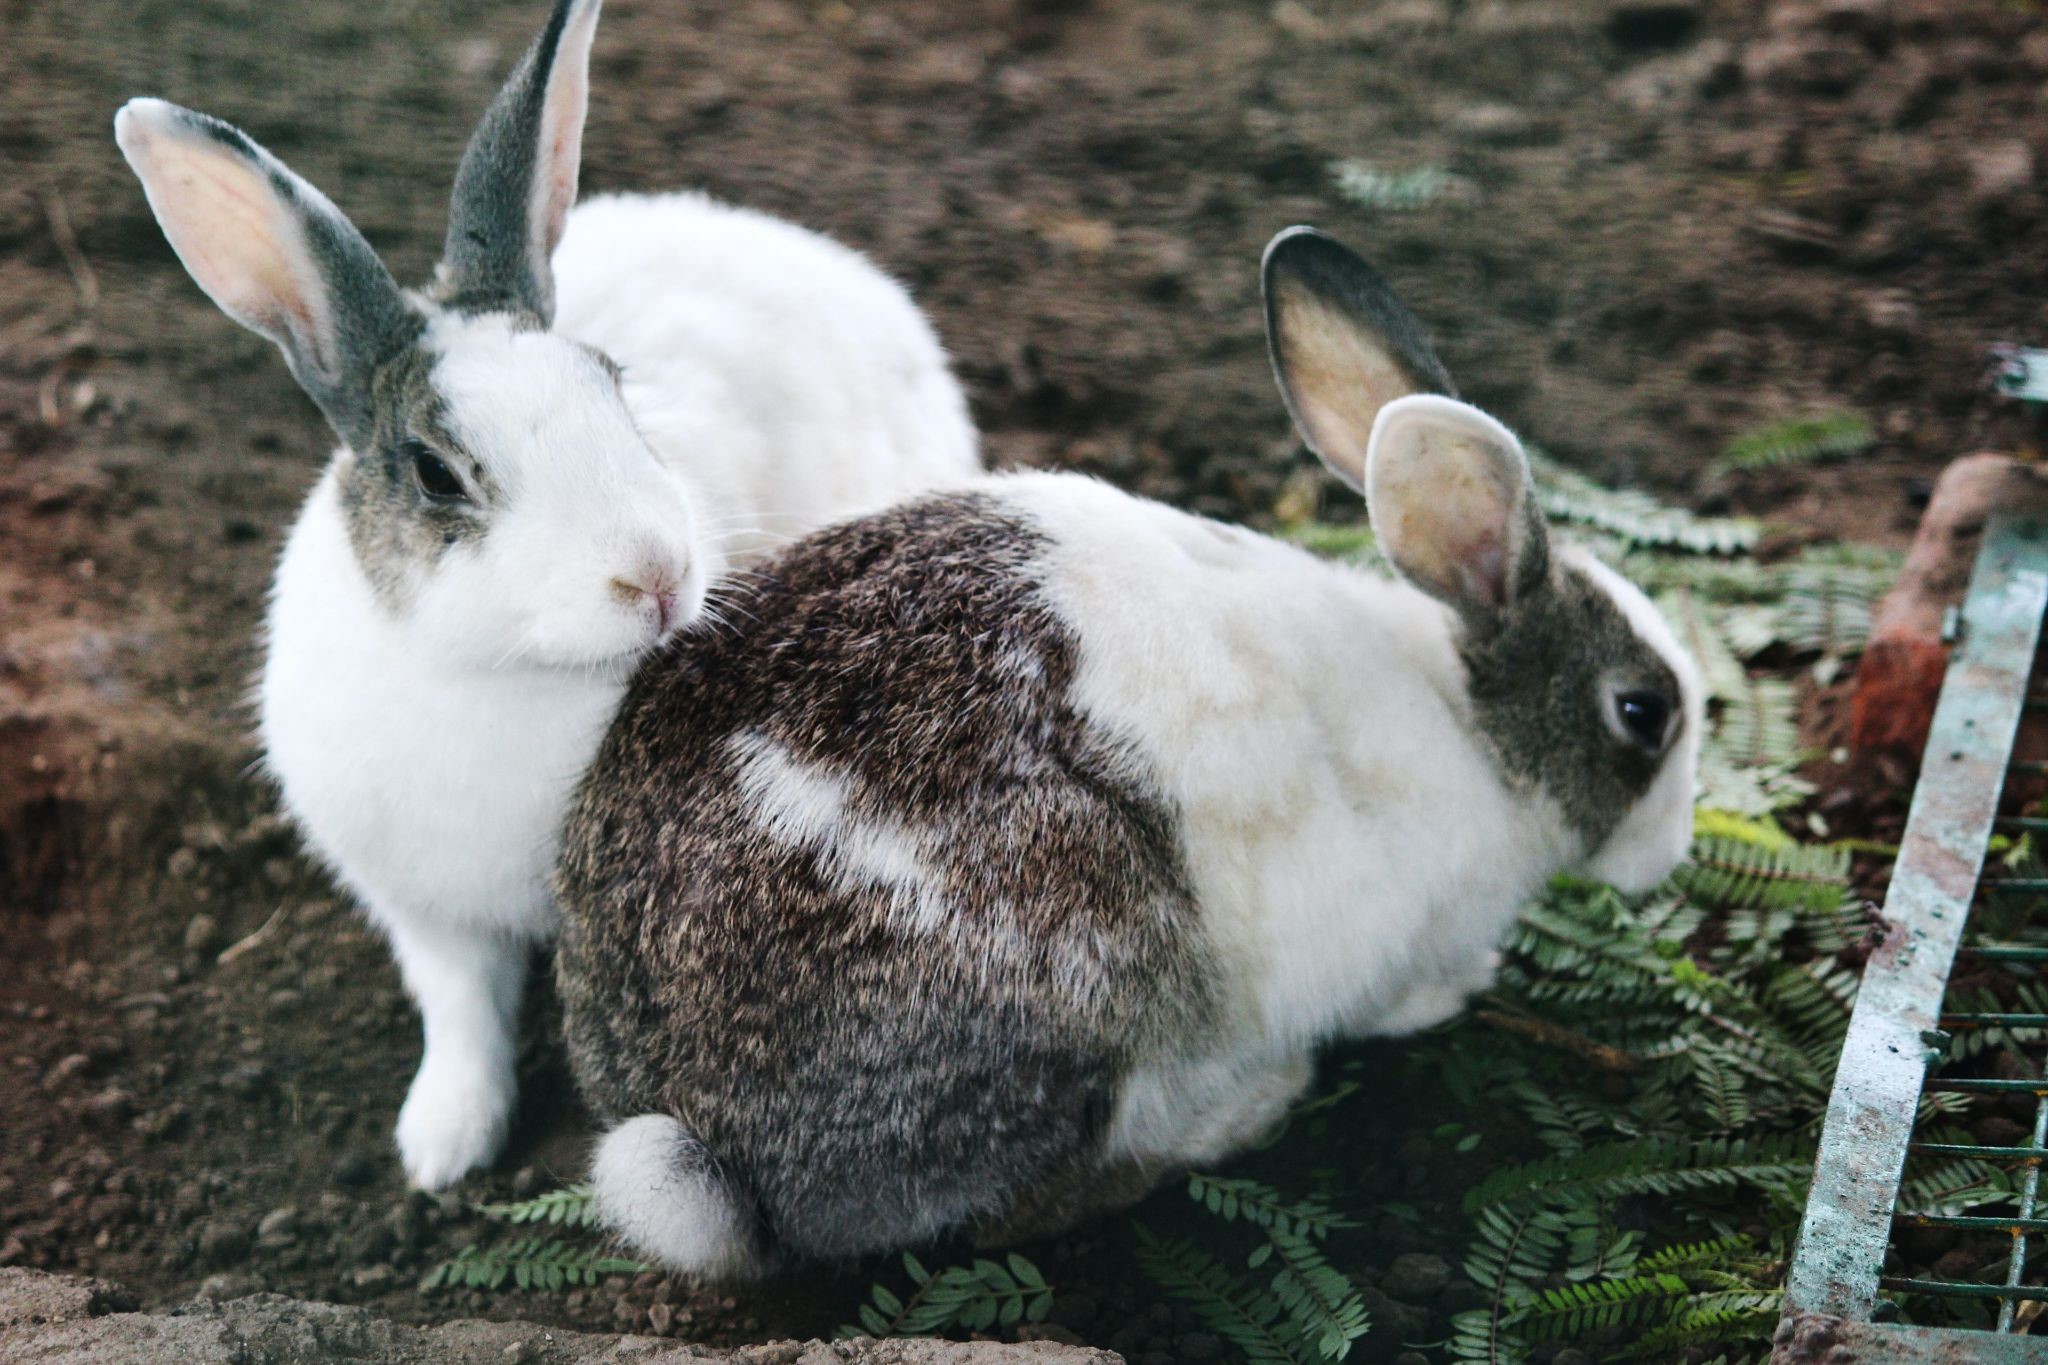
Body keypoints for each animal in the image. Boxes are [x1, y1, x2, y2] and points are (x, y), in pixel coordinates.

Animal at [113, 0, 979, 1191]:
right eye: (437, 474)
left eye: (614, 388)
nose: (656, 575)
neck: (503, 672)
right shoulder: (423, 908)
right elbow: (460, 1012)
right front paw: (442, 1144)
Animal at [549, 225, 1704, 1278]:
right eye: (1643, 711)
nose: (1671, 852)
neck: (1474, 725)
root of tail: (701, 1131)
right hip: (1089, 972)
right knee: (1022, 1206)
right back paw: (1242, 1109)